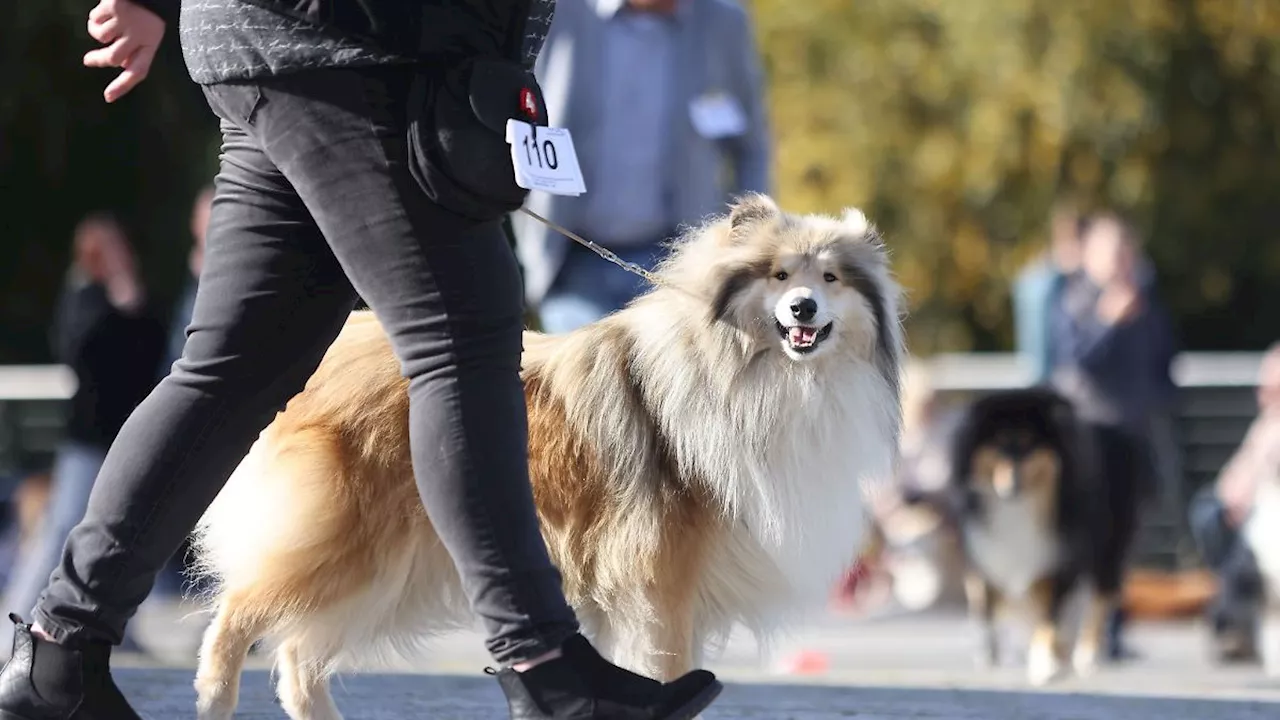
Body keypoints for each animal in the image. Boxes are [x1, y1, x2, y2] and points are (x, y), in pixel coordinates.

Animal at [192, 193, 911, 712]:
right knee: (239, 614)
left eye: (832, 278)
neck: (753, 371)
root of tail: (330, 351)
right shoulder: (661, 588)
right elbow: (666, 669)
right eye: (779, 274)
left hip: (386, 574)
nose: (803, 308)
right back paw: (211, 697)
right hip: (346, 544)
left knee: (298, 657)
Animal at [942, 386, 1131, 681]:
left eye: (1031, 445)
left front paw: (1045, 663)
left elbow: (1050, 615)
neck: (1021, 507)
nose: (1012, 486)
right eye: (998, 445)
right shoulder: (982, 556)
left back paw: (1084, 657)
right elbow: (984, 606)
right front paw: (989, 655)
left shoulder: (1062, 561)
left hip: (1108, 553)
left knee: (1099, 601)